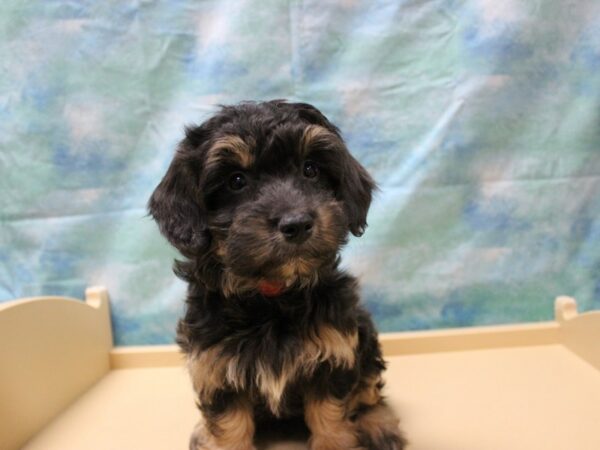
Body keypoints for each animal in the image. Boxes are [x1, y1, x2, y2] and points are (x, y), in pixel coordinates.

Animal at [148, 100, 406, 448]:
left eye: (310, 170)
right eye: (236, 181)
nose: (297, 223)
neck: (272, 295)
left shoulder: (334, 354)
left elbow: (330, 416)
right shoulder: (215, 367)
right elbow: (228, 425)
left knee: (368, 388)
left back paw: (379, 425)